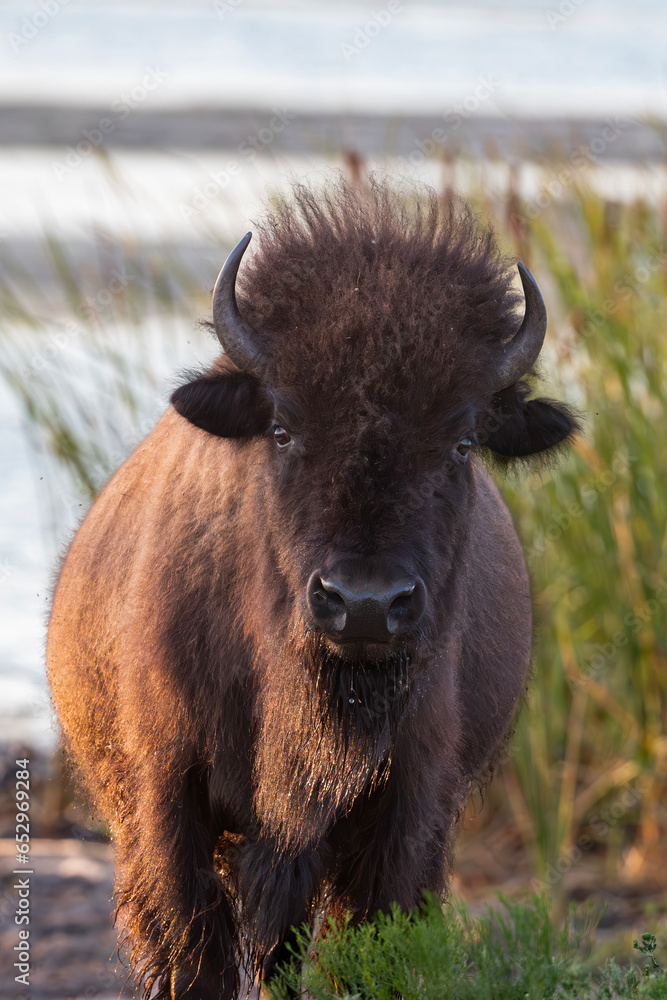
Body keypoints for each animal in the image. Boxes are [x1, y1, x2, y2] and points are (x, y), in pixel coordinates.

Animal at [47, 177, 577, 999]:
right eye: (283, 429)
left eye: (462, 442)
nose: (365, 604)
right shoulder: (169, 802)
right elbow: (194, 951)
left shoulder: (406, 810)